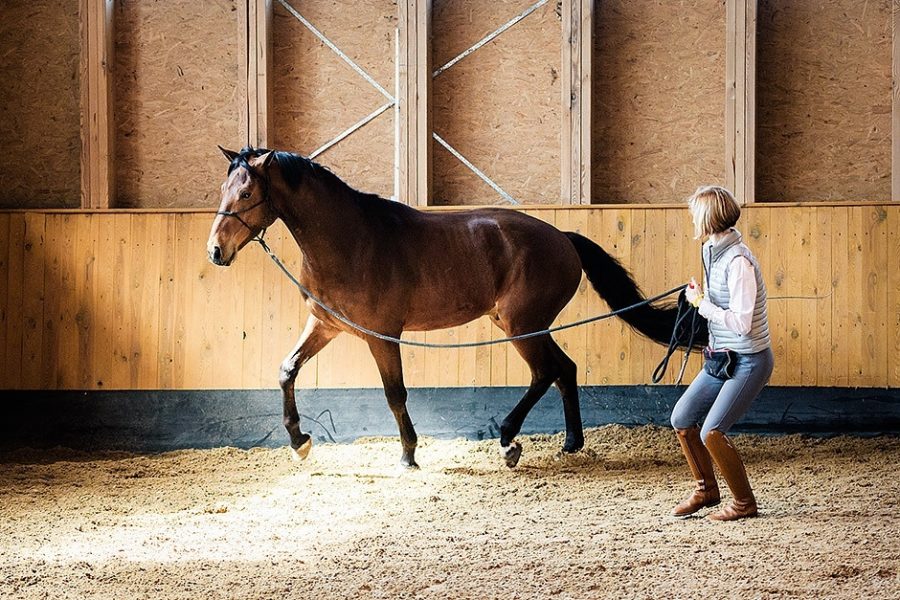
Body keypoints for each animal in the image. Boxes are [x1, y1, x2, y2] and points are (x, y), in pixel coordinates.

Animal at [207, 146, 707, 469]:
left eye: (246, 194)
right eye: (224, 189)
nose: (215, 251)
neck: (351, 241)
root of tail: (563, 238)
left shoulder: (381, 335)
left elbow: (395, 393)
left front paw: (408, 454)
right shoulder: (325, 325)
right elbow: (287, 371)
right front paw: (300, 442)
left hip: (521, 325)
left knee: (546, 371)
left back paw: (508, 440)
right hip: (528, 326)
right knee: (564, 369)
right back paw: (570, 442)